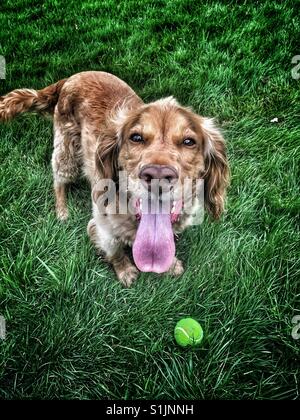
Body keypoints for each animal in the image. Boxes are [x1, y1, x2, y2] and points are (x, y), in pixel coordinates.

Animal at [0, 72, 230, 288]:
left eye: (189, 141)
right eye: (136, 137)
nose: (157, 175)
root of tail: (70, 78)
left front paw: (171, 265)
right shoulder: (102, 227)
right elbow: (115, 251)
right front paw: (125, 271)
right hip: (67, 152)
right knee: (58, 181)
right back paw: (62, 210)